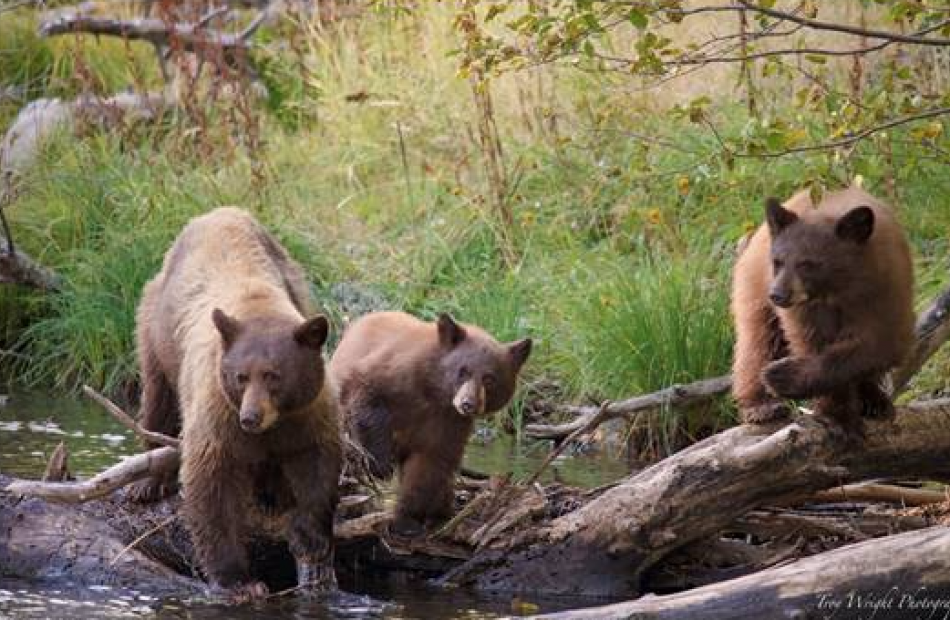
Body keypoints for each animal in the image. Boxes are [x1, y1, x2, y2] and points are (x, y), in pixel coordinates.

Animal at [131, 207, 342, 599]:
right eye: (240, 376)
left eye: (274, 375)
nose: (250, 417)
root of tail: (217, 212)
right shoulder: (219, 411)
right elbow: (211, 480)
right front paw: (237, 580)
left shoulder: (310, 412)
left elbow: (318, 465)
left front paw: (311, 538)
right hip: (156, 329)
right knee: (157, 397)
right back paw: (147, 482)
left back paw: (271, 492)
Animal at [329, 312, 532, 536]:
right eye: (463, 371)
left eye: (489, 378)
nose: (468, 404)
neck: (434, 392)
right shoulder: (393, 372)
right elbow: (365, 396)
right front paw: (381, 465)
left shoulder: (449, 421)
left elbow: (429, 463)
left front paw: (407, 520)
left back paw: (441, 512)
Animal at [731, 186, 914, 427]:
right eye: (777, 261)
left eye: (807, 263)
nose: (777, 295)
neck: (838, 291)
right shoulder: (804, 312)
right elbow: (812, 344)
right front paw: (837, 415)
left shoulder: (886, 290)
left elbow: (879, 345)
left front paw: (783, 377)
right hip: (755, 283)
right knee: (758, 341)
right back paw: (762, 406)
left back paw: (874, 400)